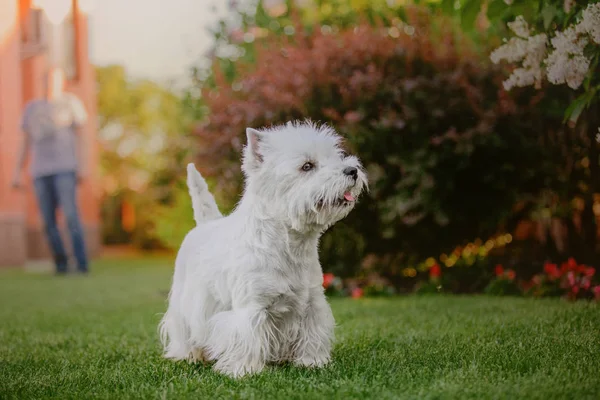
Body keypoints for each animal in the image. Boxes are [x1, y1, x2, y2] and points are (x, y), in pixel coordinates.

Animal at [159, 122, 366, 378]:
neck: (291, 245)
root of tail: (205, 224)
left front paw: (312, 362)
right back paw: (190, 354)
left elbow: (312, 333)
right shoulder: (251, 306)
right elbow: (248, 337)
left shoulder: (312, 301)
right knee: (183, 327)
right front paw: (245, 370)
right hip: (186, 300)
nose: (352, 170)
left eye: (335, 156)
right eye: (307, 166)